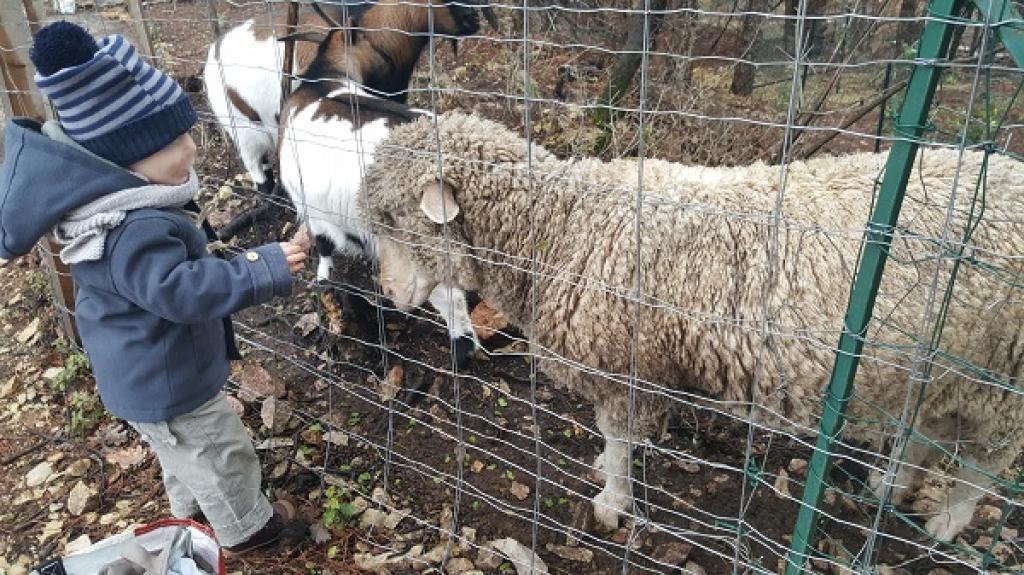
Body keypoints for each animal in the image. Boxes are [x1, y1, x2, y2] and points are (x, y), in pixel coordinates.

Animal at [356, 111, 1024, 540]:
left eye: (395, 218)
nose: (387, 294)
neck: (565, 225)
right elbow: (612, 440)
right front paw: (605, 474)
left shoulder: (626, 368)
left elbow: (620, 440)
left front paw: (612, 503)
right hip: (938, 365)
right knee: (926, 429)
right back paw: (891, 485)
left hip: (1000, 379)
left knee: (983, 464)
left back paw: (946, 521)